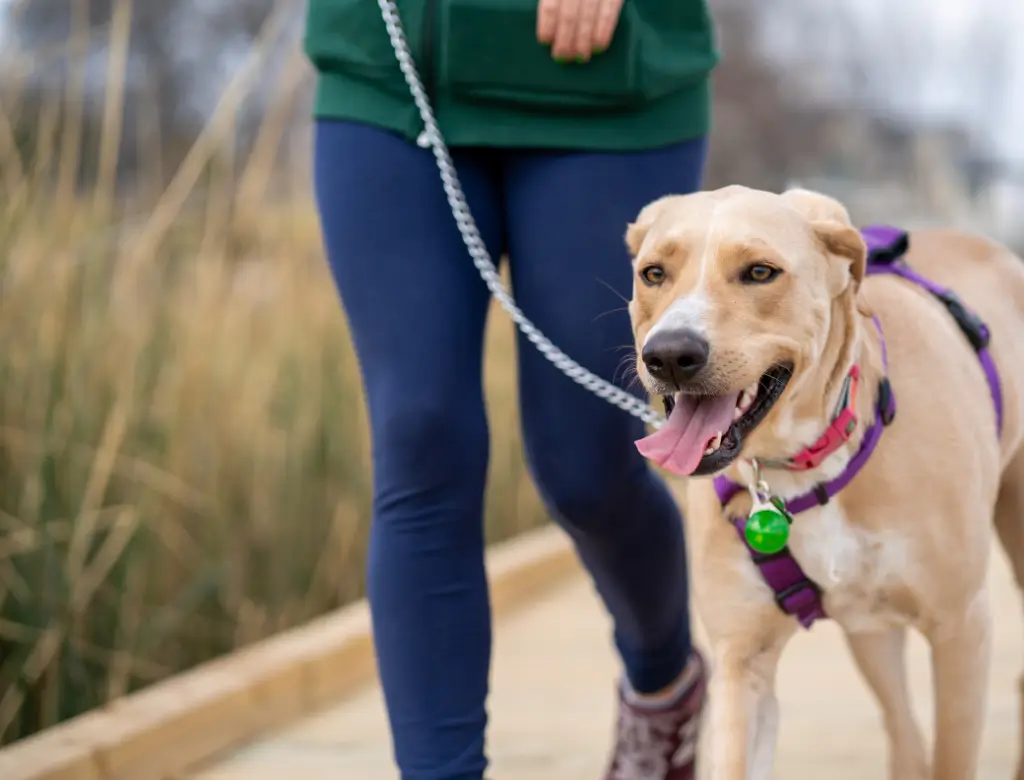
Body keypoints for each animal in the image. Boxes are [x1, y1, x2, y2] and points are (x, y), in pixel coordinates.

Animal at [618, 184, 1024, 777]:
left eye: (760, 272)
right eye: (653, 273)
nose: (669, 354)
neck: (799, 466)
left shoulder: (961, 628)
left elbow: (953, 757)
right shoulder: (744, 661)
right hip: (869, 629)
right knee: (902, 728)